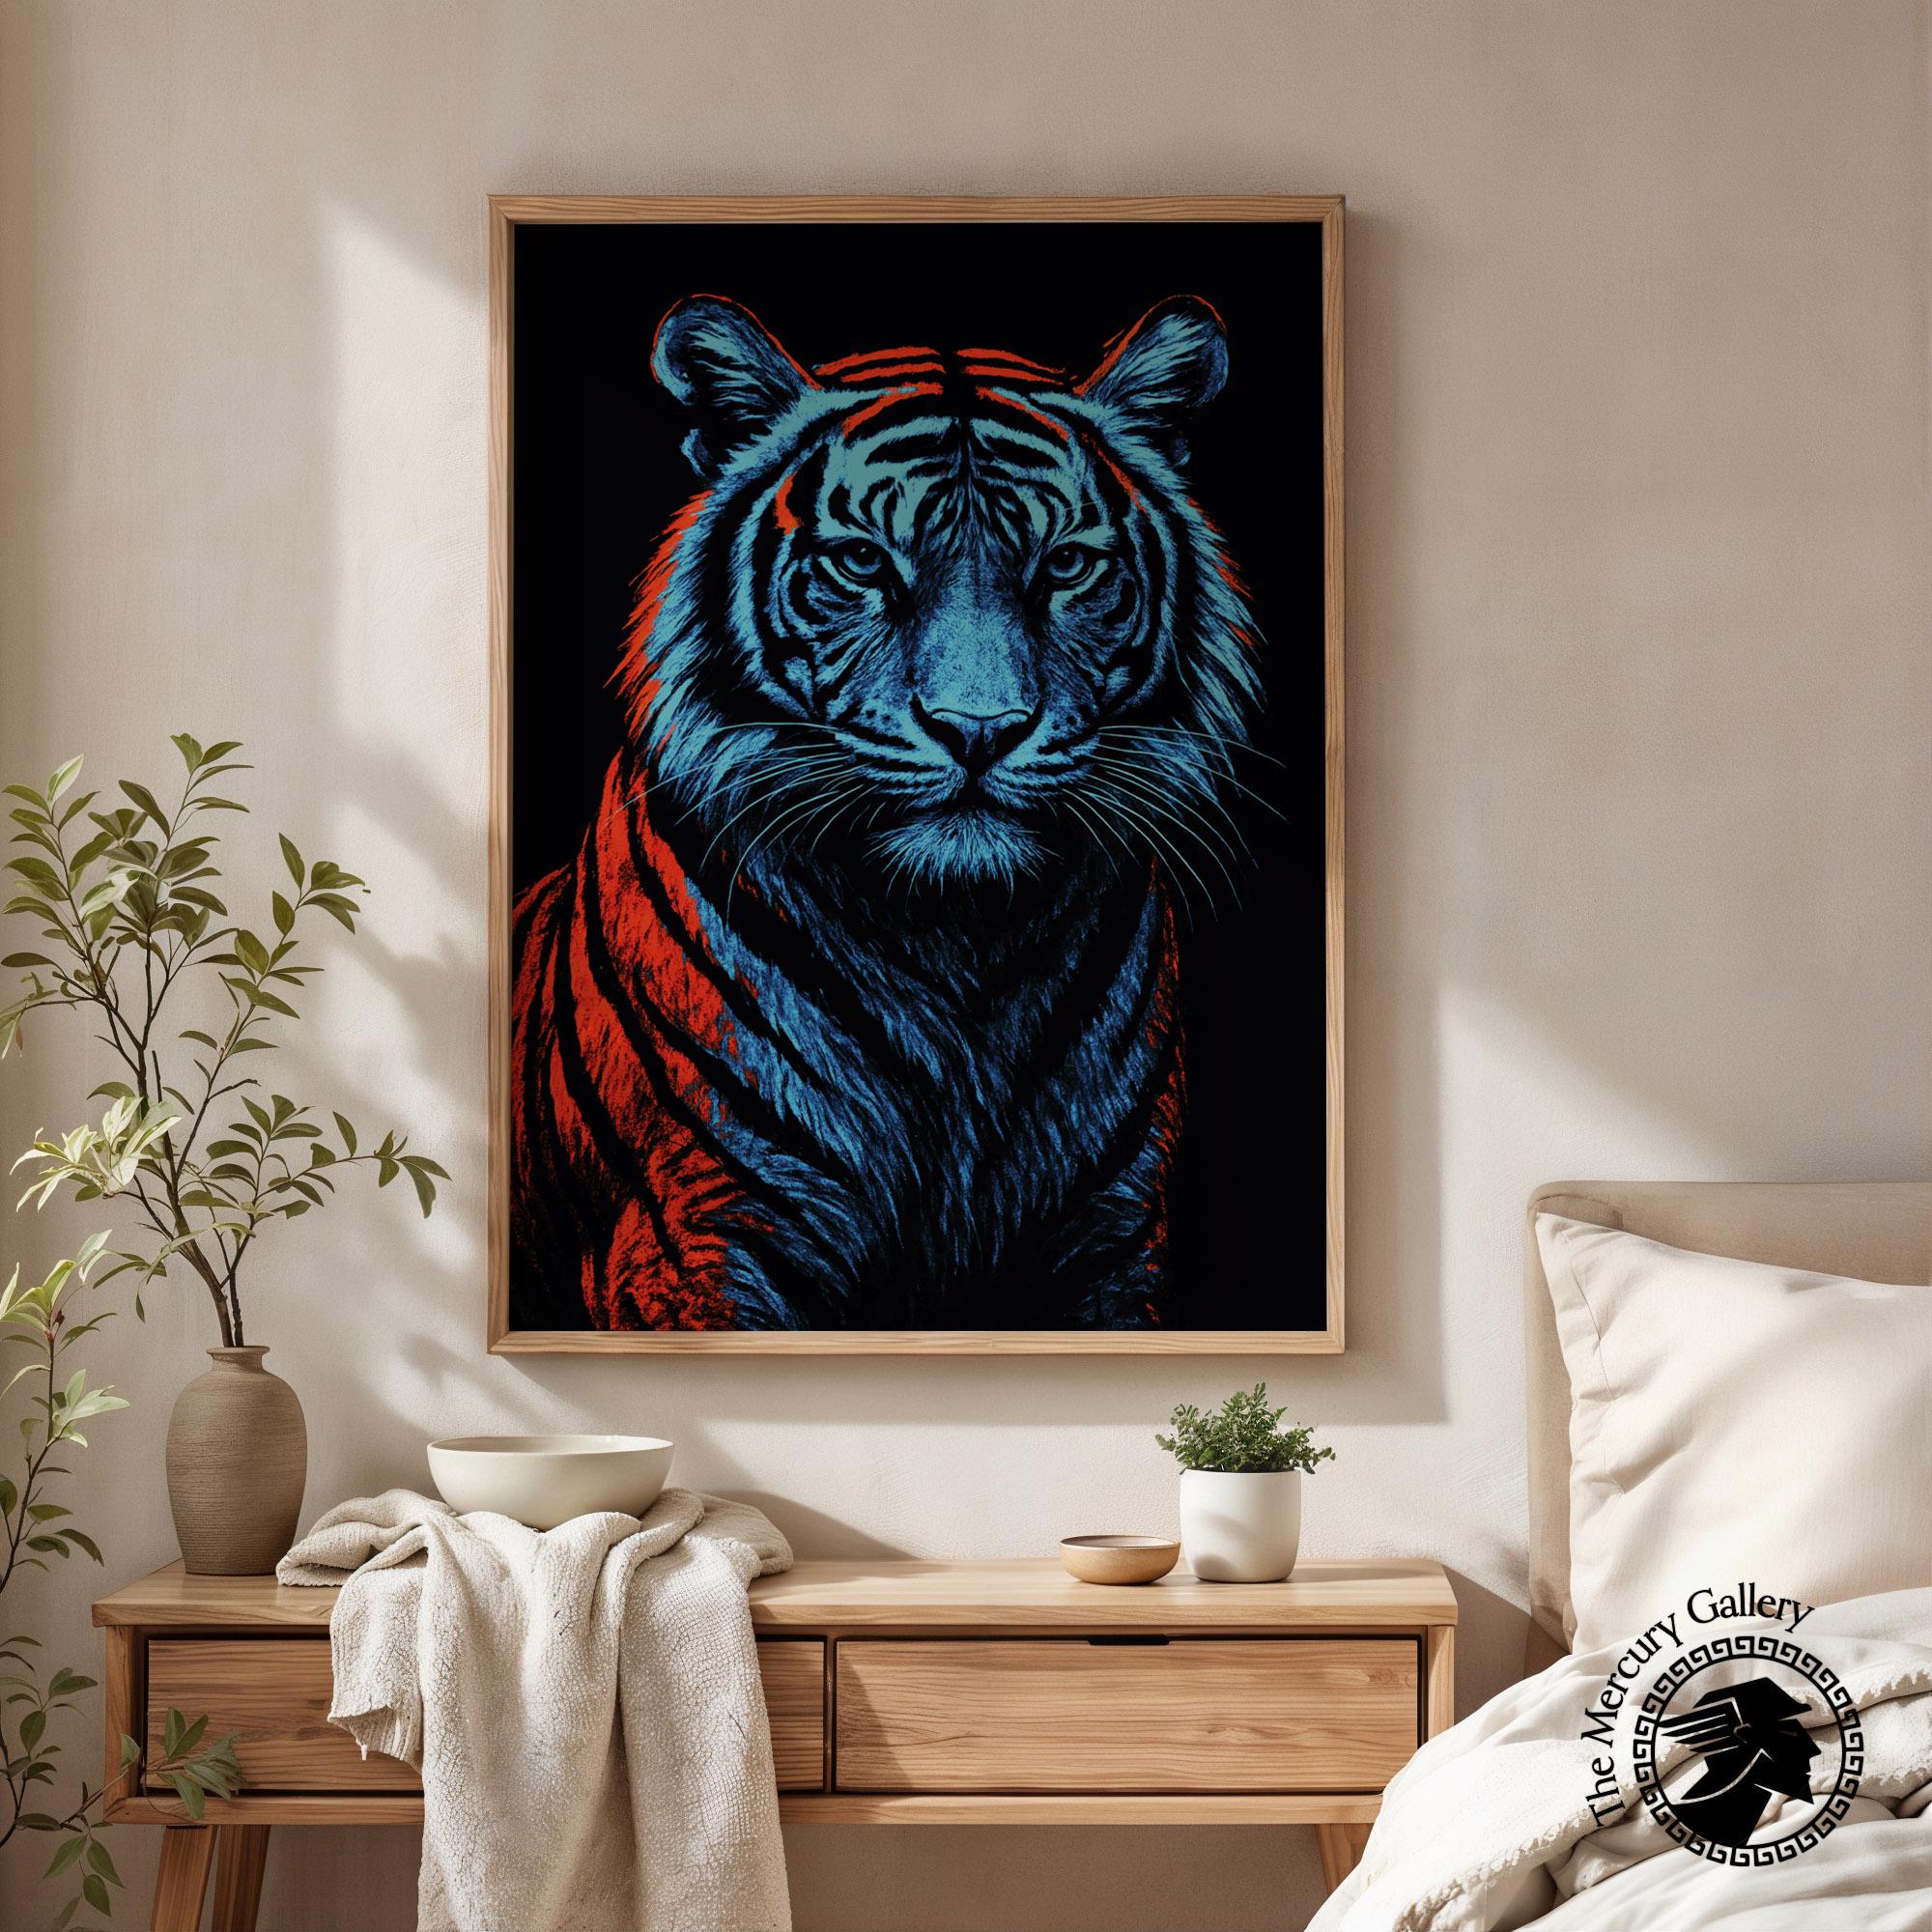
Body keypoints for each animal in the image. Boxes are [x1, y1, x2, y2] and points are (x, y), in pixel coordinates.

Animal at [510, 292, 1265, 1331]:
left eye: (1067, 565)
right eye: (864, 563)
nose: (978, 728)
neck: (959, 944)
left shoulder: (1113, 1240)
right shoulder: (695, 1233)